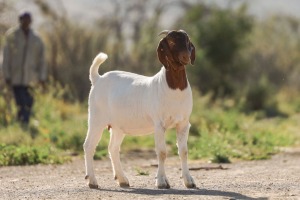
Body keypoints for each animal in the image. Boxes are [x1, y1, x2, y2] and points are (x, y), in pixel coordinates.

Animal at [84, 29, 197, 189]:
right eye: (171, 41)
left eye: (187, 40)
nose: (186, 56)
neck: (174, 88)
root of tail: (97, 78)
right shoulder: (159, 125)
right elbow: (162, 152)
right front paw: (161, 182)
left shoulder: (183, 123)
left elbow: (184, 151)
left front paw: (189, 181)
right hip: (96, 119)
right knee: (89, 146)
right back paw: (93, 181)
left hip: (118, 126)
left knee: (113, 148)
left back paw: (123, 180)